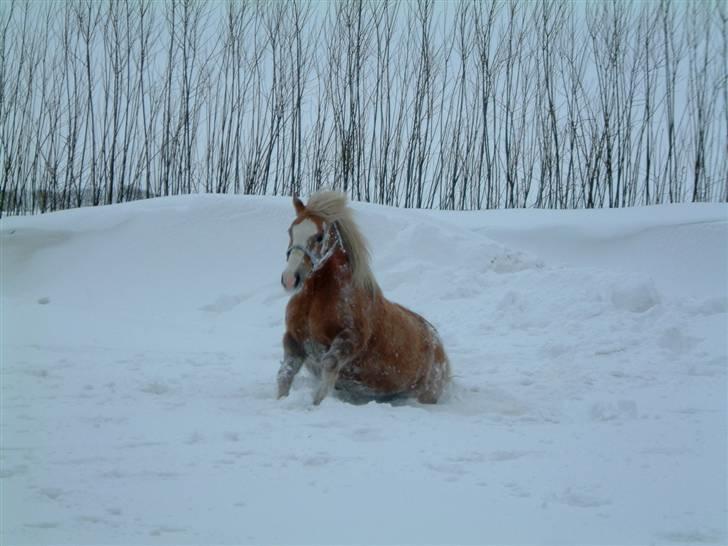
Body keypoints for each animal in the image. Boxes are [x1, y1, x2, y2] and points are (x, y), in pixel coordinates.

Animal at [278, 189, 450, 402]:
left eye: (319, 236)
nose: (290, 279)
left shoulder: (351, 340)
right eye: (291, 231)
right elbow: (285, 374)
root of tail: (438, 343)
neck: (316, 299)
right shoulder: (293, 339)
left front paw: (317, 403)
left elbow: (329, 364)